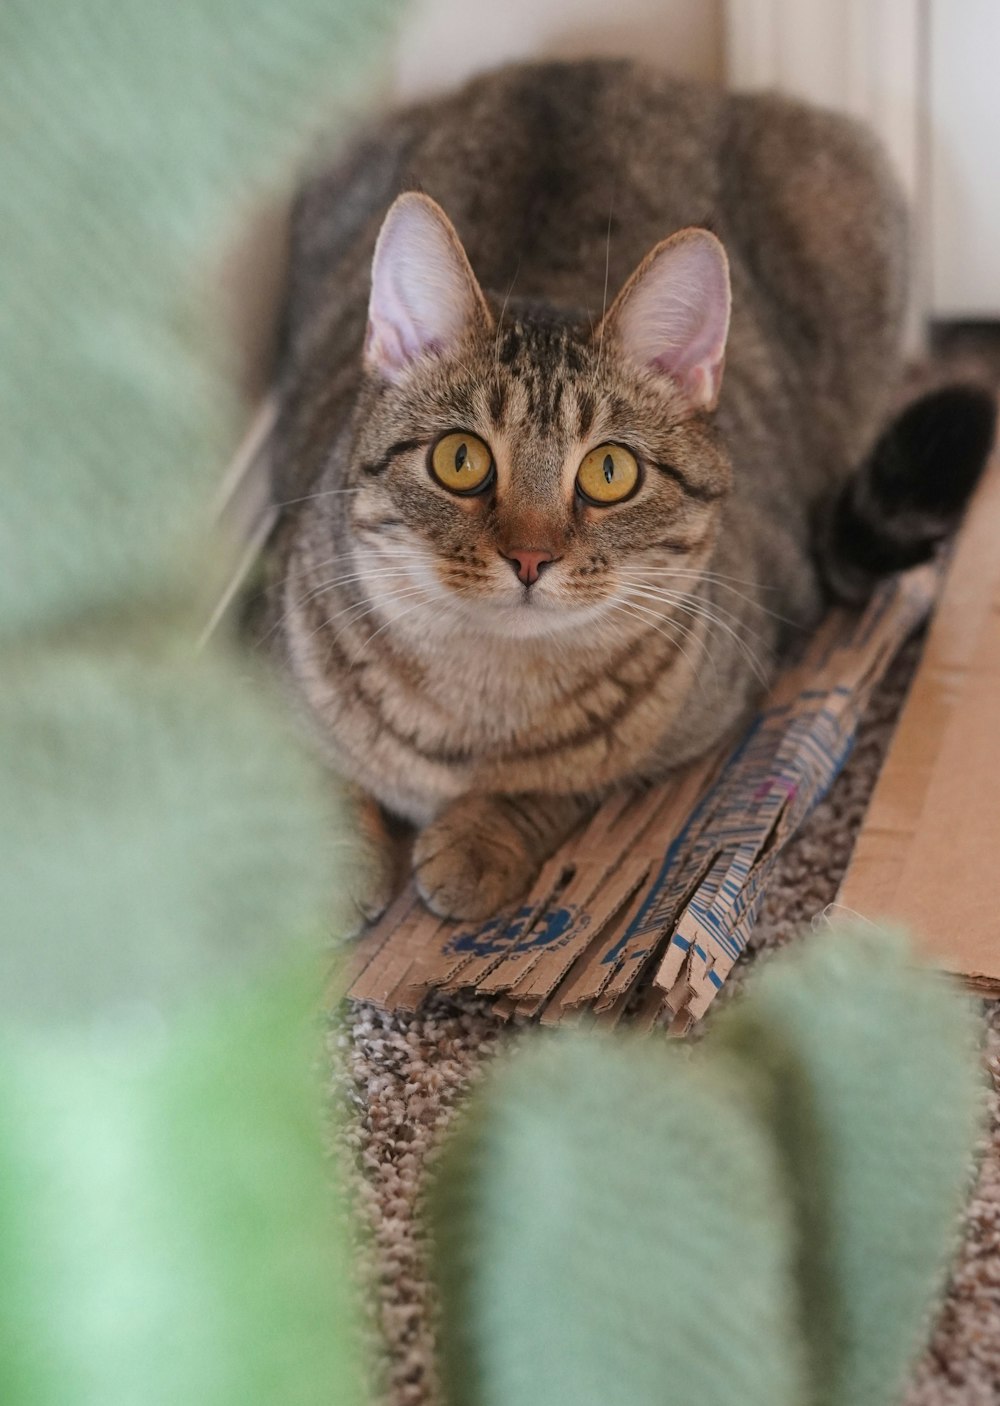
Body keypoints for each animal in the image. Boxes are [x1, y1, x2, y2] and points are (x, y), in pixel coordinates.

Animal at [265, 63, 995, 922]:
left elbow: (561, 784)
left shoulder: (697, 722)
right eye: (460, 460)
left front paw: (479, 840)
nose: (530, 558)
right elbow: (316, 774)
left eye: (609, 473)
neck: (484, 697)